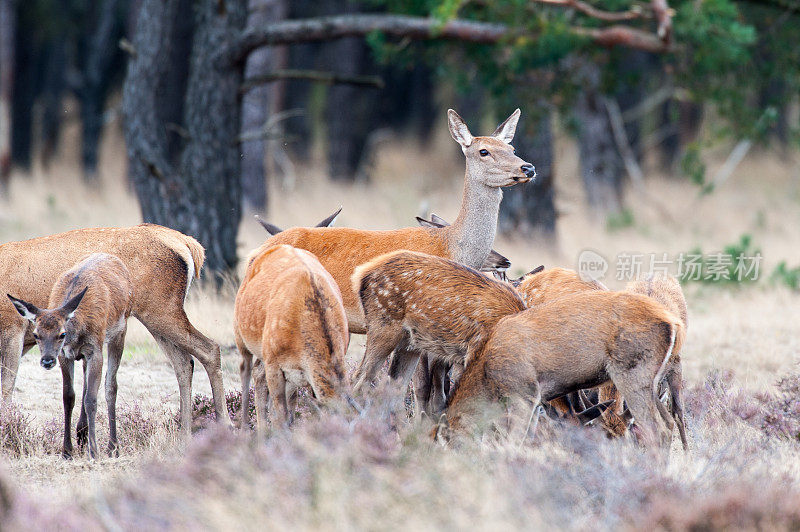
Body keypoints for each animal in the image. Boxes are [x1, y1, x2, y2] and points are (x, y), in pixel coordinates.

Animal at [0, 222, 231, 430]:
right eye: (37, 335)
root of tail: (189, 245)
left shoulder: (13, 328)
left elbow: (7, 388)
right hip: (156, 315)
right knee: (184, 362)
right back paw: (184, 433)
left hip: (161, 308)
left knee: (210, 348)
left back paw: (224, 425)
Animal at [7, 254, 131, 458]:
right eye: (36, 334)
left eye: (62, 334)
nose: (47, 361)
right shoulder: (65, 356)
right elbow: (68, 397)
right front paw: (67, 450)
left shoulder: (95, 349)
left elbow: (91, 399)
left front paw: (94, 451)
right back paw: (82, 434)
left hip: (120, 330)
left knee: (111, 386)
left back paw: (113, 447)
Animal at [236, 243, 352, 434]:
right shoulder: (273, 363)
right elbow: (280, 414)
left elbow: (289, 408)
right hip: (241, 334)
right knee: (245, 369)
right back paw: (245, 427)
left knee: (258, 373)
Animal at [440, 290, 684, 448]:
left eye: (446, 440)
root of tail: (673, 323)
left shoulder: (525, 393)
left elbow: (515, 438)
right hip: (652, 379)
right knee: (669, 422)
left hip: (631, 373)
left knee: (656, 428)